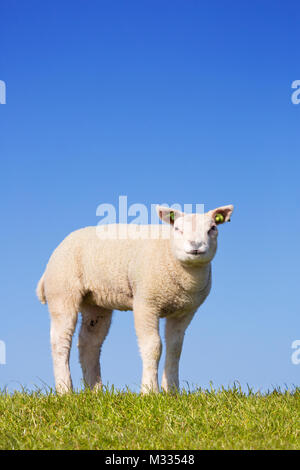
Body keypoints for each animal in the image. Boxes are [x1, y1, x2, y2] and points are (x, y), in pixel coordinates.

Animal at [37, 205, 234, 392]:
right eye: (178, 229)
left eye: (213, 228)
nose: (196, 246)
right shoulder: (146, 303)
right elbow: (153, 346)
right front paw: (149, 390)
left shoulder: (185, 312)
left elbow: (175, 349)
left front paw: (172, 391)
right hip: (62, 290)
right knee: (60, 341)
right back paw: (65, 390)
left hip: (95, 302)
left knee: (89, 342)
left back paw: (95, 390)